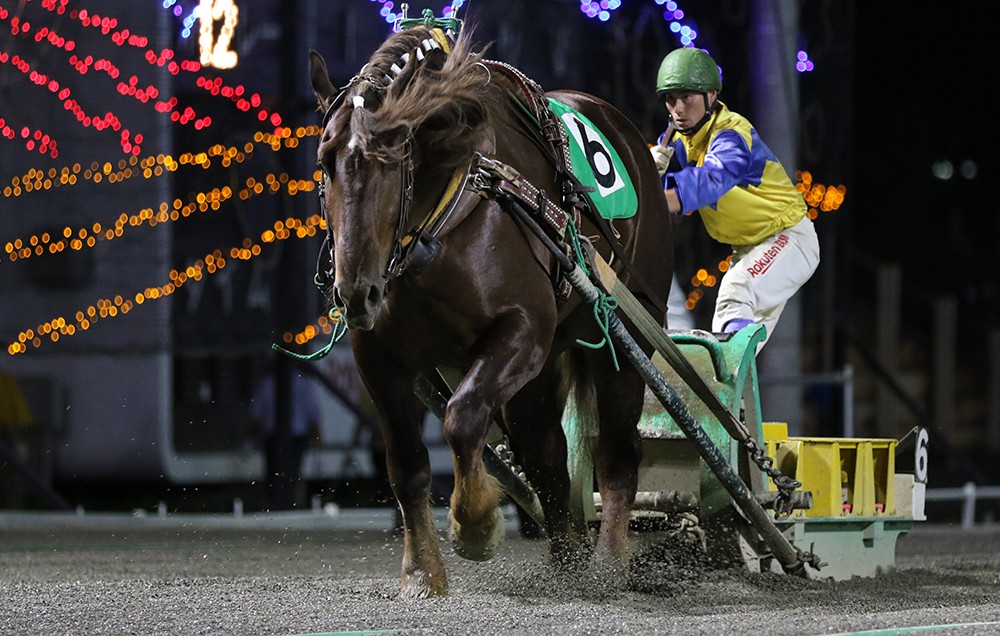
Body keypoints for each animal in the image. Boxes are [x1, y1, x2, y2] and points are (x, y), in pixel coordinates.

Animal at [308, 24, 673, 598]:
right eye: (326, 162)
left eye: (395, 157)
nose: (355, 292)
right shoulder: (378, 357)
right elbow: (406, 464)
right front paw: (421, 570)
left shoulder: (522, 331)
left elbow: (462, 418)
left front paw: (475, 523)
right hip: (537, 376)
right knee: (547, 456)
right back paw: (566, 562)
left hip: (622, 336)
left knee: (617, 452)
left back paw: (608, 564)